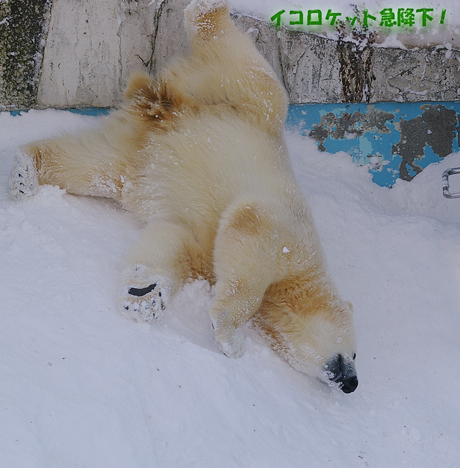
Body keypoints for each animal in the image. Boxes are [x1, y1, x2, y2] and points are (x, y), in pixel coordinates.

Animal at [9, 0, 358, 392]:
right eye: (356, 353)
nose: (352, 383)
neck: (298, 281)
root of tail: (165, 106)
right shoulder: (290, 235)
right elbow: (250, 223)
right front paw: (230, 336)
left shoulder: (202, 249)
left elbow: (174, 242)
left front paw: (144, 295)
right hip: (238, 102)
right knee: (253, 73)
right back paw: (211, 10)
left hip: (134, 158)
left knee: (91, 164)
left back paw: (26, 171)